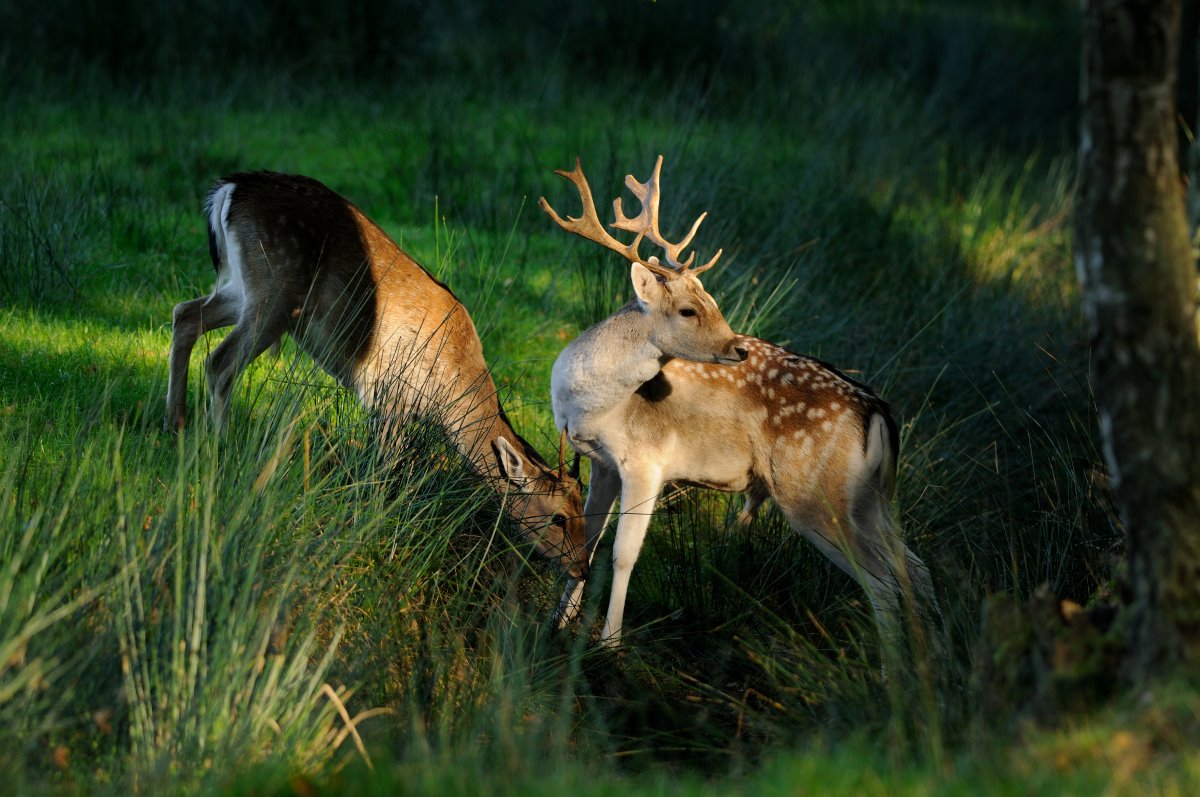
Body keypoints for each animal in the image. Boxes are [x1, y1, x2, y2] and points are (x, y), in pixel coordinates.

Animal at [166, 171, 586, 578]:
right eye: (558, 518)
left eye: (585, 510)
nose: (581, 568)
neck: (453, 391)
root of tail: (229, 188)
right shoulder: (391, 395)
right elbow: (388, 468)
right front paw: (379, 522)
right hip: (275, 290)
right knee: (219, 361)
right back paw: (220, 446)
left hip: (243, 289)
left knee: (184, 314)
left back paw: (177, 425)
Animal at [539, 156, 938, 648]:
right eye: (690, 309)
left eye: (713, 301)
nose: (739, 349)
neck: (585, 405)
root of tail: (876, 411)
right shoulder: (603, 462)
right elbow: (589, 539)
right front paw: (557, 625)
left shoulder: (646, 460)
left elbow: (623, 553)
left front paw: (609, 643)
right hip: (871, 498)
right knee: (916, 570)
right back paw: (936, 654)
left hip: (813, 492)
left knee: (882, 583)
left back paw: (893, 664)